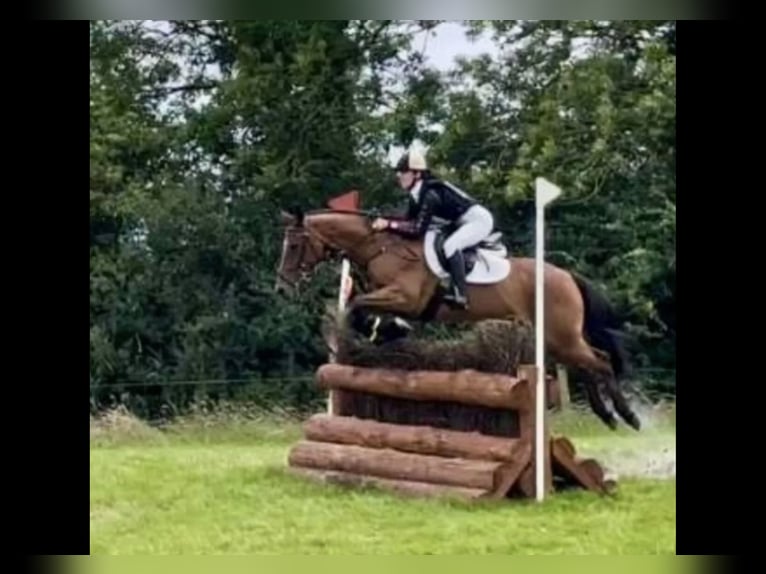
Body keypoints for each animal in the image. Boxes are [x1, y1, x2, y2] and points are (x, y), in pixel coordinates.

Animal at [274, 207, 641, 432]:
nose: (281, 288)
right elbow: (358, 307)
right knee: (589, 365)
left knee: (600, 361)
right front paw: (389, 330)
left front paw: (387, 330)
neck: (380, 247)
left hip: (561, 335)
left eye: (293, 246)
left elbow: (356, 307)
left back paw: (628, 416)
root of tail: (566, 275)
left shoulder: (407, 297)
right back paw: (606, 415)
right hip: (556, 338)